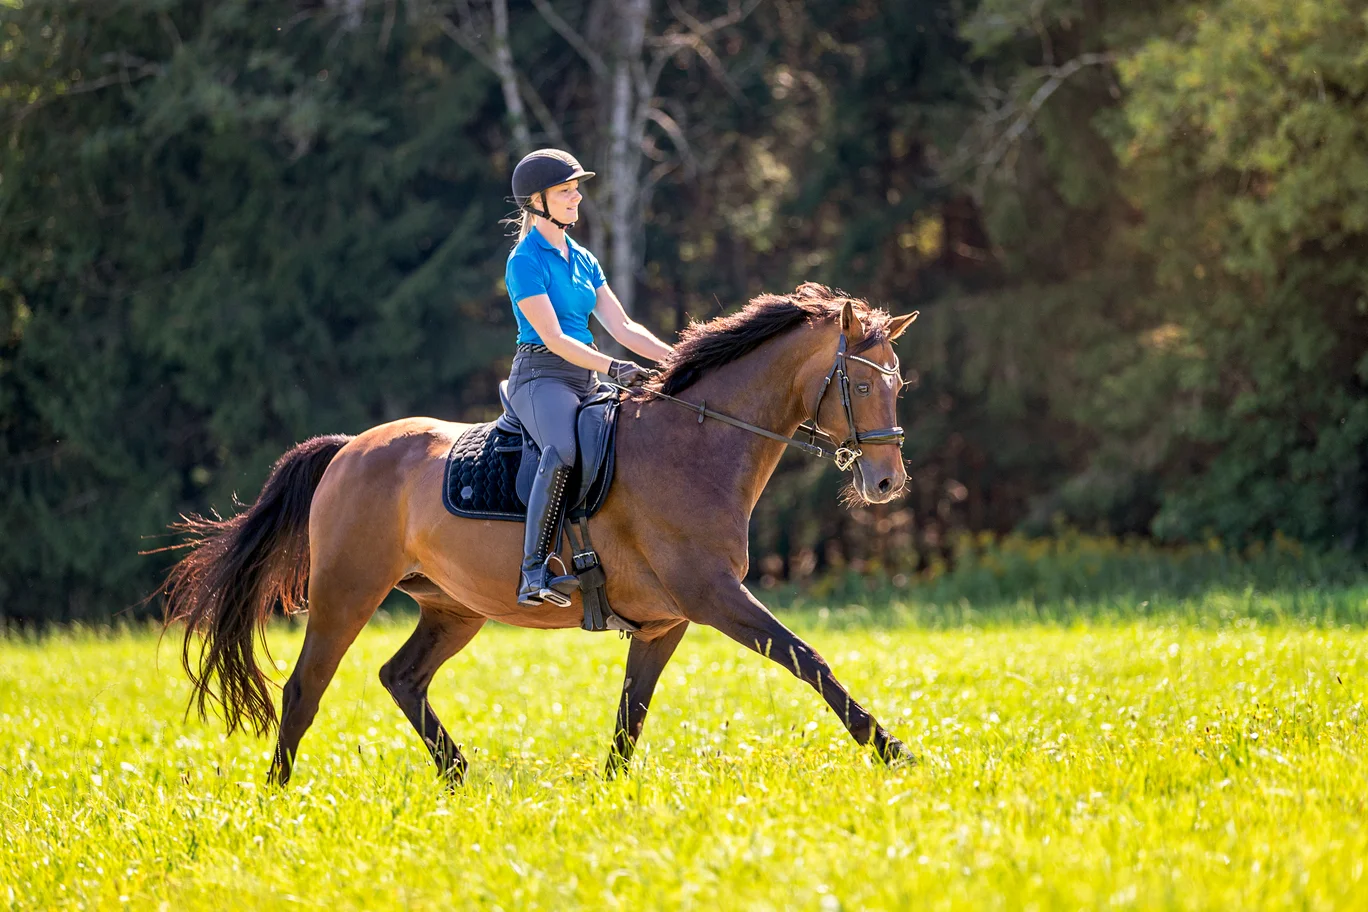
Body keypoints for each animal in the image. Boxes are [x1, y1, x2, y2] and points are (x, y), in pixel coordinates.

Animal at [157, 283, 919, 787]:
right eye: (858, 383)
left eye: (897, 383)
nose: (887, 482)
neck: (696, 444)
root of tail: (349, 449)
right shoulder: (712, 596)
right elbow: (808, 659)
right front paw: (891, 750)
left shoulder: (665, 622)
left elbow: (631, 713)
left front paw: (609, 792)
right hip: (347, 594)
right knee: (304, 690)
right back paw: (277, 797)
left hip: (453, 607)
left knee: (400, 677)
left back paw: (459, 777)